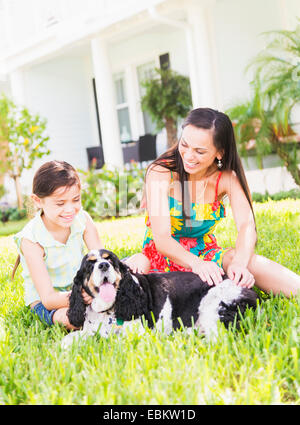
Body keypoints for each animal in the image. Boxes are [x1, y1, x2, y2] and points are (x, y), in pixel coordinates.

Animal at [61, 248, 258, 348]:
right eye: (90, 264)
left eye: (110, 260)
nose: (103, 265)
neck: (109, 310)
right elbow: (72, 337)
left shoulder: (137, 334)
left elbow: (110, 339)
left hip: (211, 304)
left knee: (217, 337)